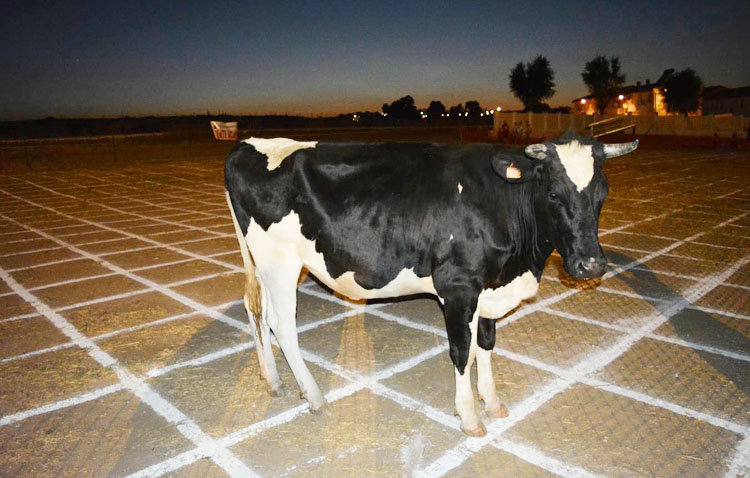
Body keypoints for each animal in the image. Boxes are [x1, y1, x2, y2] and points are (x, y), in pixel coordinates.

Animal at [224, 131, 638, 436]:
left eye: (602, 193)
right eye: (553, 192)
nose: (591, 264)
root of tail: (249, 144)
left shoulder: (490, 284)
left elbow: (486, 344)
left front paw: (492, 402)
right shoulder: (458, 286)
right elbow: (463, 351)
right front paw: (469, 417)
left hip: (260, 263)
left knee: (255, 310)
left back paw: (272, 379)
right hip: (280, 262)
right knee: (281, 325)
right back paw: (314, 396)